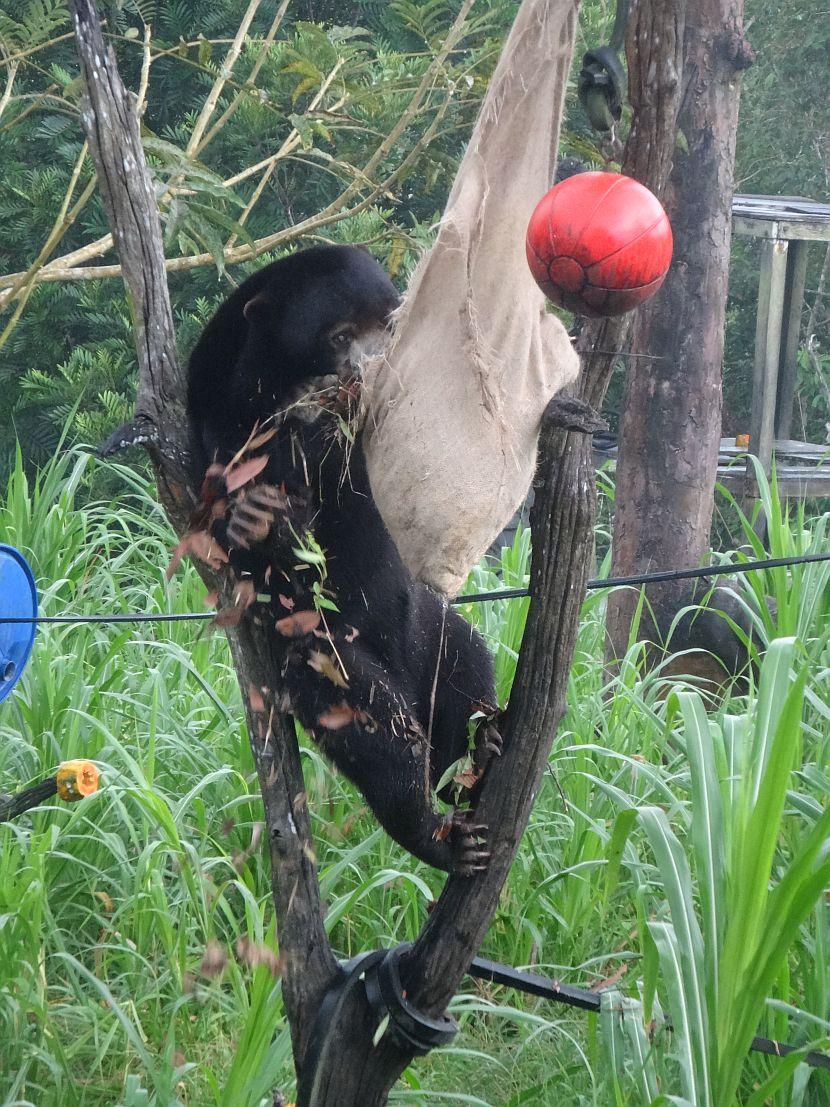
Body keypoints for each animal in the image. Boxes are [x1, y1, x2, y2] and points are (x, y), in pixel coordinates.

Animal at [187, 244, 500, 872]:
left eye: (387, 323)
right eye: (338, 335)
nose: (377, 367)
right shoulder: (225, 423)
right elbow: (255, 532)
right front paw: (260, 518)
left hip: (428, 627)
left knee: (466, 669)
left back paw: (478, 750)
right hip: (327, 657)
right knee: (385, 740)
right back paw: (438, 835)